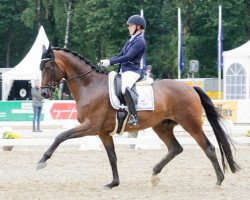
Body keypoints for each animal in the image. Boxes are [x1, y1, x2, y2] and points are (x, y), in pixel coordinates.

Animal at [37, 44, 240, 188]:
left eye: (48, 66)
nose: (44, 94)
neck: (90, 85)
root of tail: (190, 87)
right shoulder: (103, 132)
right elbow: (112, 156)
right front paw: (114, 183)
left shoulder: (91, 126)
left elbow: (60, 136)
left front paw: (42, 161)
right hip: (162, 126)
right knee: (175, 148)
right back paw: (154, 174)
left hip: (191, 124)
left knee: (208, 148)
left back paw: (219, 180)